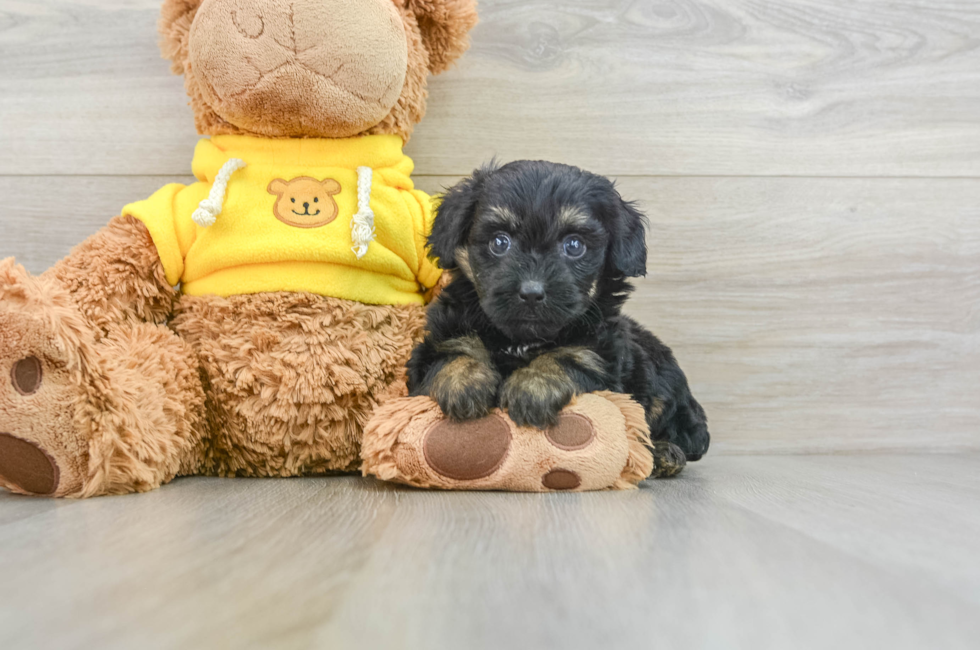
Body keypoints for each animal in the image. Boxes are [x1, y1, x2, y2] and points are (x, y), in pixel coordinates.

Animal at [408, 159, 712, 474]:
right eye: (499, 242)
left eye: (574, 245)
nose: (531, 292)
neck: (522, 340)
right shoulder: (435, 342)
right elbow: (450, 351)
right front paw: (464, 382)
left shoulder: (601, 353)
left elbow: (571, 355)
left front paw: (533, 387)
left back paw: (664, 453)